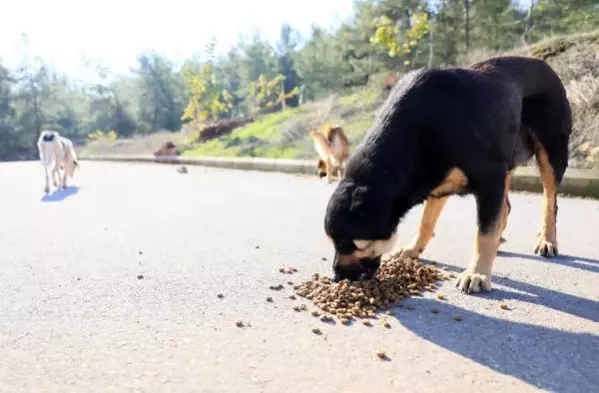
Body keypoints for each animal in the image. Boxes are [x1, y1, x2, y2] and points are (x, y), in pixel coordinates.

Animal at [326, 56, 576, 294]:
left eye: (351, 244)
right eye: (333, 243)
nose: (337, 277)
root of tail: (545, 65)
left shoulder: (490, 177)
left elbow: (484, 233)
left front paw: (477, 274)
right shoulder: (437, 183)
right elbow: (426, 222)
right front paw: (413, 249)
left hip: (550, 153)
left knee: (549, 201)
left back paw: (547, 240)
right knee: (506, 207)